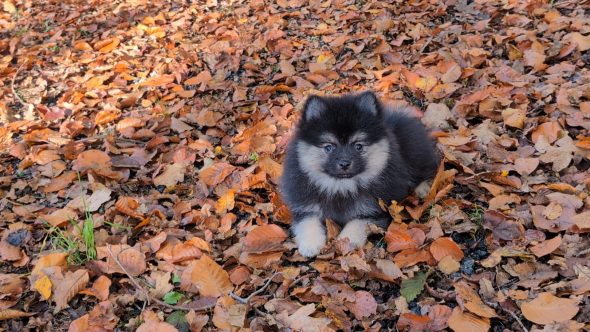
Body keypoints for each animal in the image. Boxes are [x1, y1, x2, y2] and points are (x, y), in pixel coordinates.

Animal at [280, 91, 442, 256]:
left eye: (358, 146)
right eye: (329, 147)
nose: (344, 163)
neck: (340, 187)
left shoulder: (374, 210)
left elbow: (357, 223)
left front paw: (346, 241)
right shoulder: (305, 205)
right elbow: (307, 221)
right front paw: (310, 244)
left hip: (415, 154)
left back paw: (423, 189)